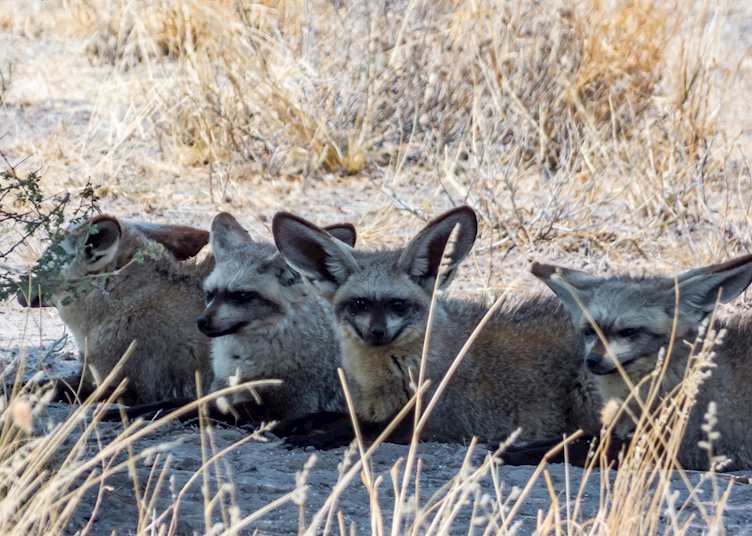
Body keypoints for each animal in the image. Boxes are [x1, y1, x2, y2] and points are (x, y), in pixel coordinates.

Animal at [272, 206, 588, 445]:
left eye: (398, 305)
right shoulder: (372, 409)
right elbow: (338, 416)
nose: (377, 333)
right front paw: (297, 423)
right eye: (359, 304)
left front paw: (315, 437)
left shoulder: (426, 421)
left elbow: (360, 430)